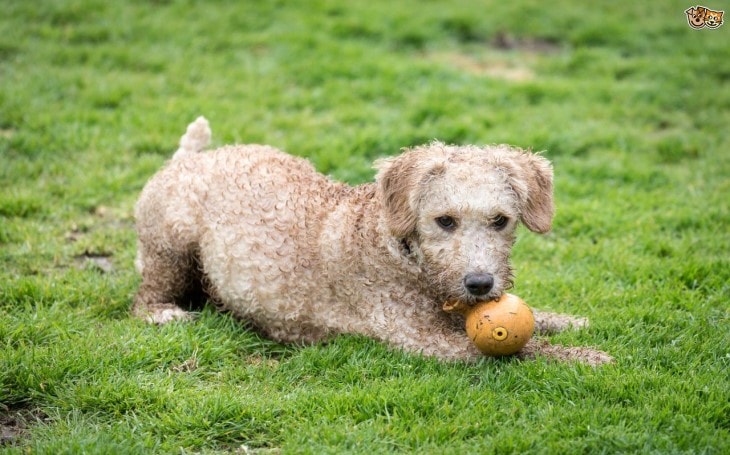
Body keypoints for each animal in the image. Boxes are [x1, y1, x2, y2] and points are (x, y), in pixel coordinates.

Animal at [132, 118, 608, 366]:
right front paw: (587, 357)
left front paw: (572, 321)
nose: (479, 284)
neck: (401, 252)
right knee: (144, 297)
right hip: (171, 248)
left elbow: (540, 320)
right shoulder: (420, 339)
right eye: (445, 221)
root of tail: (190, 158)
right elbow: (524, 351)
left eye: (500, 220)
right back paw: (165, 314)